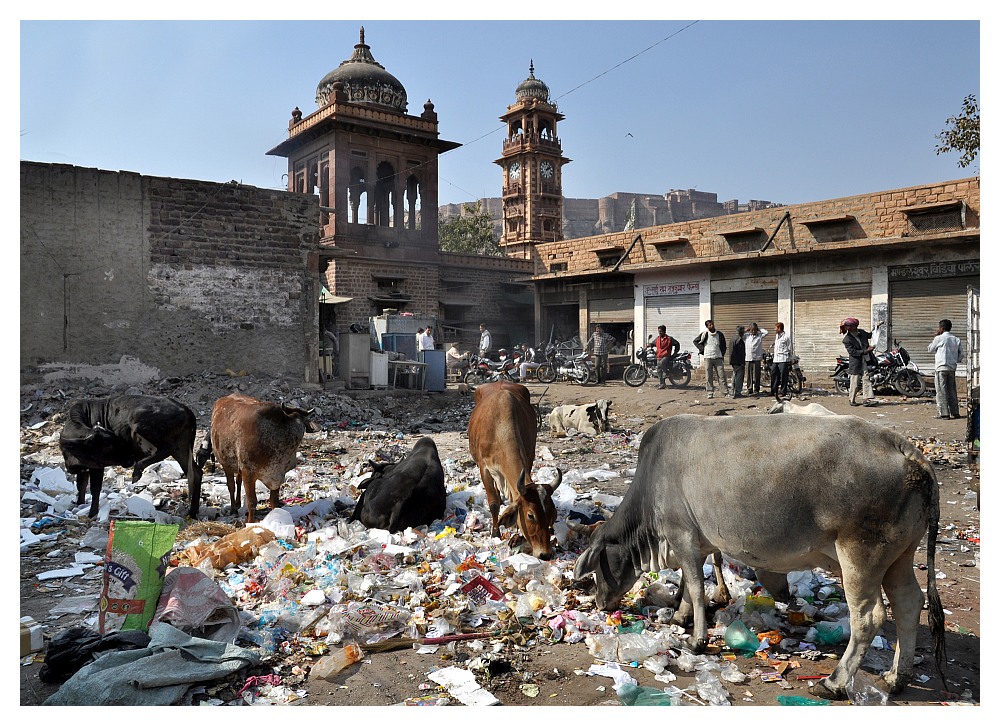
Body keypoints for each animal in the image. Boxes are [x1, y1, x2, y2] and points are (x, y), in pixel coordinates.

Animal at [58, 396, 203, 520]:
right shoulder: (83, 468)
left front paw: (92, 514)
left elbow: (95, 488)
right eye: (109, 445)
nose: (129, 459)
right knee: (195, 473)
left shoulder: (97, 466)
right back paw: (192, 512)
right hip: (182, 447)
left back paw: (137, 471)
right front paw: (79, 504)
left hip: (141, 426)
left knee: (164, 449)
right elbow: (81, 486)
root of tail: (185, 409)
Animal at [198, 396, 316, 528]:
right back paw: (233, 509)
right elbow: (252, 502)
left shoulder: (278, 475)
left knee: (238, 482)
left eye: (304, 423)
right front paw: (250, 522)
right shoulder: (249, 473)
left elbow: (274, 501)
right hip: (226, 464)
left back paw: (238, 504)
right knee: (231, 486)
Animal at [468, 382, 564, 564]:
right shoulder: (484, 468)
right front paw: (495, 531)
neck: (499, 426)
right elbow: (493, 503)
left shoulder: (529, 457)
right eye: (530, 515)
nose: (546, 554)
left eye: (552, 514)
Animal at [572, 416, 944, 704]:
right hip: (899, 557)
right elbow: (689, 585)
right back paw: (896, 678)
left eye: (596, 569)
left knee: (868, 617)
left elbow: (695, 587)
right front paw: (679, 617)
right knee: (909, 603)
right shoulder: (697, 544)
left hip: (860, 556)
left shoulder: (681, 536)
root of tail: (907, 450)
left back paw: (834, 682)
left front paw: (696, 639)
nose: (600, 603)